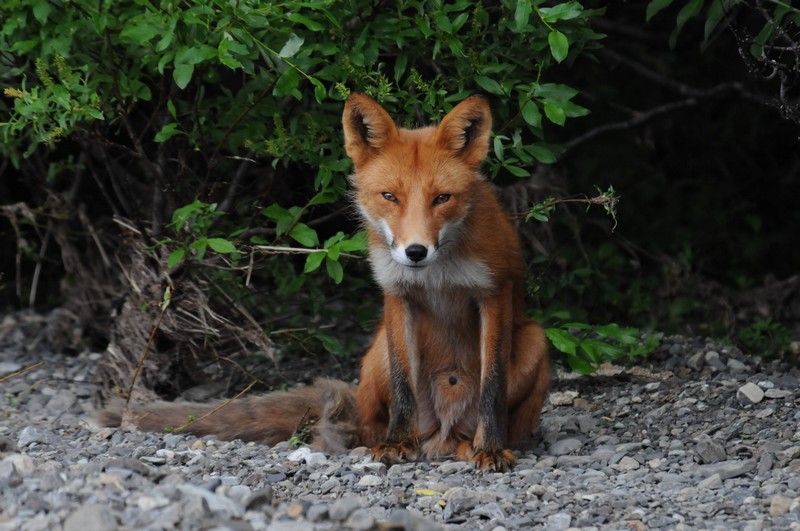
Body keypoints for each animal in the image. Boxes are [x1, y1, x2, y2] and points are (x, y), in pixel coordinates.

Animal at [100, 93, 548, 472]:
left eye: (442, 199)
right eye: (390, 197)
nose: (416, 252)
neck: (439, 274)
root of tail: (441, 434)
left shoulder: (493, 294)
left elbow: (492, 386)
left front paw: (490, 449)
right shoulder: (396, 296)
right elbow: (403, 386)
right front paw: (395, 444)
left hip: (535, 339)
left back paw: (471, 445)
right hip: (378, 352)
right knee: (371, 426)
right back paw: (395, 440)